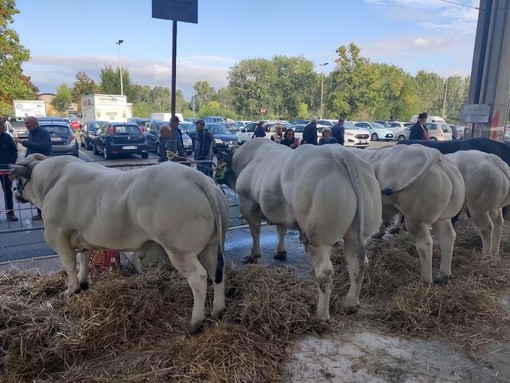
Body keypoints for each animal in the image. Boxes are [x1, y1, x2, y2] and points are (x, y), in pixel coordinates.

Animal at [9, 154, 229, 332]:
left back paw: (195, 322)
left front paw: (71, 289)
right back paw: (217, 311)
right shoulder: (83, 237)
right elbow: (84, 259)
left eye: (18, 179)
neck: (52, 182)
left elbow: (69, 264)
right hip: (211, 245)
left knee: (198, 277)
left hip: (180, 250)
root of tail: (196, 176)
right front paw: (83, 281)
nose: (14, 192)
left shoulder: (57, 235)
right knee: (216, 270)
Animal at [216, 140, 382, 322]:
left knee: (325, 272)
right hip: (358, 235)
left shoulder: (247, 203)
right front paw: (280, 252)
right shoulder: (280, 211)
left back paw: (321, 316)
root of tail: (342, 154)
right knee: (358, 265)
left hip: (318, 237)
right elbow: (280, 229)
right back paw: (351, 304)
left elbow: (255, 231)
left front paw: (254, 255)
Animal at [350, 146, 466, 284]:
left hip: (415, 219)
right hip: (443, 218)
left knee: (425, 244)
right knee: (447, 237)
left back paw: (425, 280)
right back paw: (444, 275)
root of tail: (435, 154)